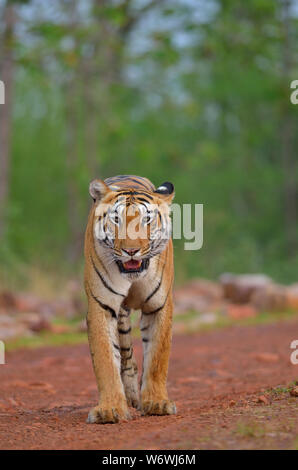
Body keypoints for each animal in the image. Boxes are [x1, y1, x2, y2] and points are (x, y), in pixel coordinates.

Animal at [83, 174, 177, 424]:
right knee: (126, 358)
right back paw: (131, 396)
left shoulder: (158, 306)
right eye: (116, 219)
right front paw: (109, 409)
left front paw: (157, 403)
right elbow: (105, 359)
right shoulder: (101, 306)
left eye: (147, 220)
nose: (131, 251)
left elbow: (158, 358)